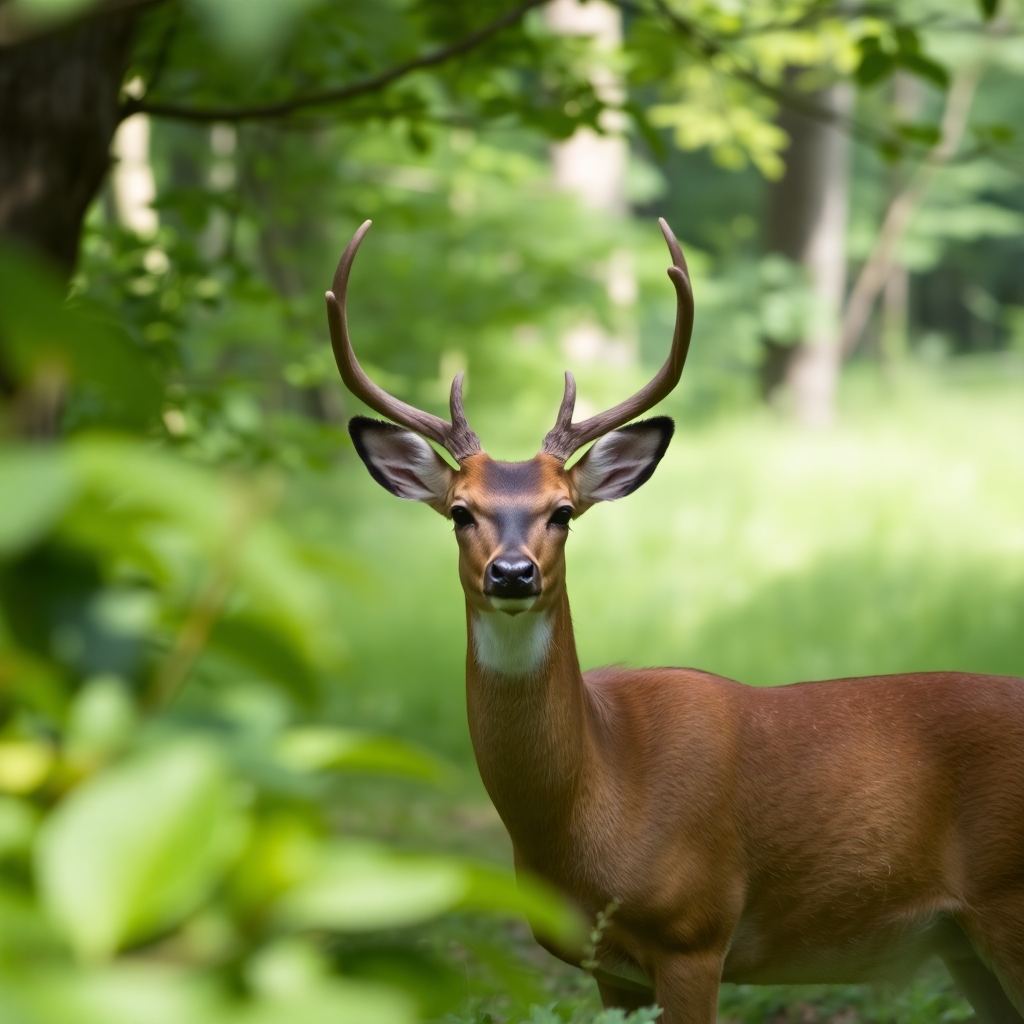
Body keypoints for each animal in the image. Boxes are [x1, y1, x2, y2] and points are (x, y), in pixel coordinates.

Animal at [325, 219, 1024, 1024]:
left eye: (562, 512)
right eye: (460, 512)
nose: (513, 573)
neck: (599, 794)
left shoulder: (696, 929)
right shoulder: (609, 967)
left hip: (1010, 901)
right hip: (963, 943)